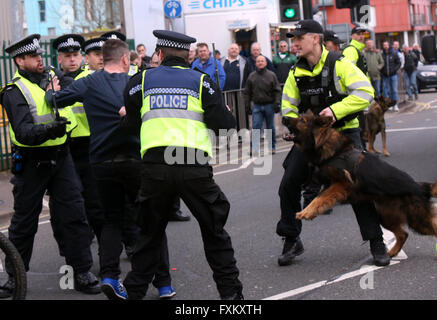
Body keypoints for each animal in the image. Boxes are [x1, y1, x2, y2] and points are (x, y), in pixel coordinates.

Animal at [282, 110, 436, 258]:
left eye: (302, 120)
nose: (284, 117)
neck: (328, 146)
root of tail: (419, 186)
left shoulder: (340, 184)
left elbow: (319, 198)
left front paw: (305, 212)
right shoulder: (329, 185)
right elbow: (319, 199)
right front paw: (309, 211)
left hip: (417, 219)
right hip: (386, 216)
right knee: (404, 234)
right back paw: (392, 252)